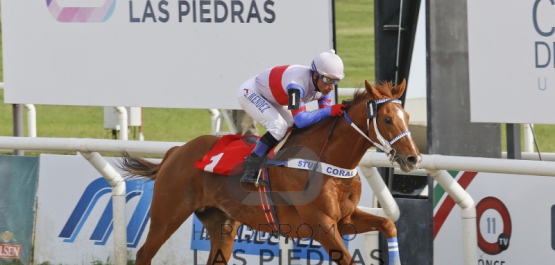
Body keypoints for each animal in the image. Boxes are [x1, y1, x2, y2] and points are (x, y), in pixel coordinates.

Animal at [119, 79, 420, 262]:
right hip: (167, 215)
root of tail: (176, 151)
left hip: (222, 223)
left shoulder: (345, 218)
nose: (413, 158)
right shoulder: (321, 225)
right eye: (387, 119)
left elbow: (388, 224)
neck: (327, 163)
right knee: (144, 254)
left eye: (407, 116)